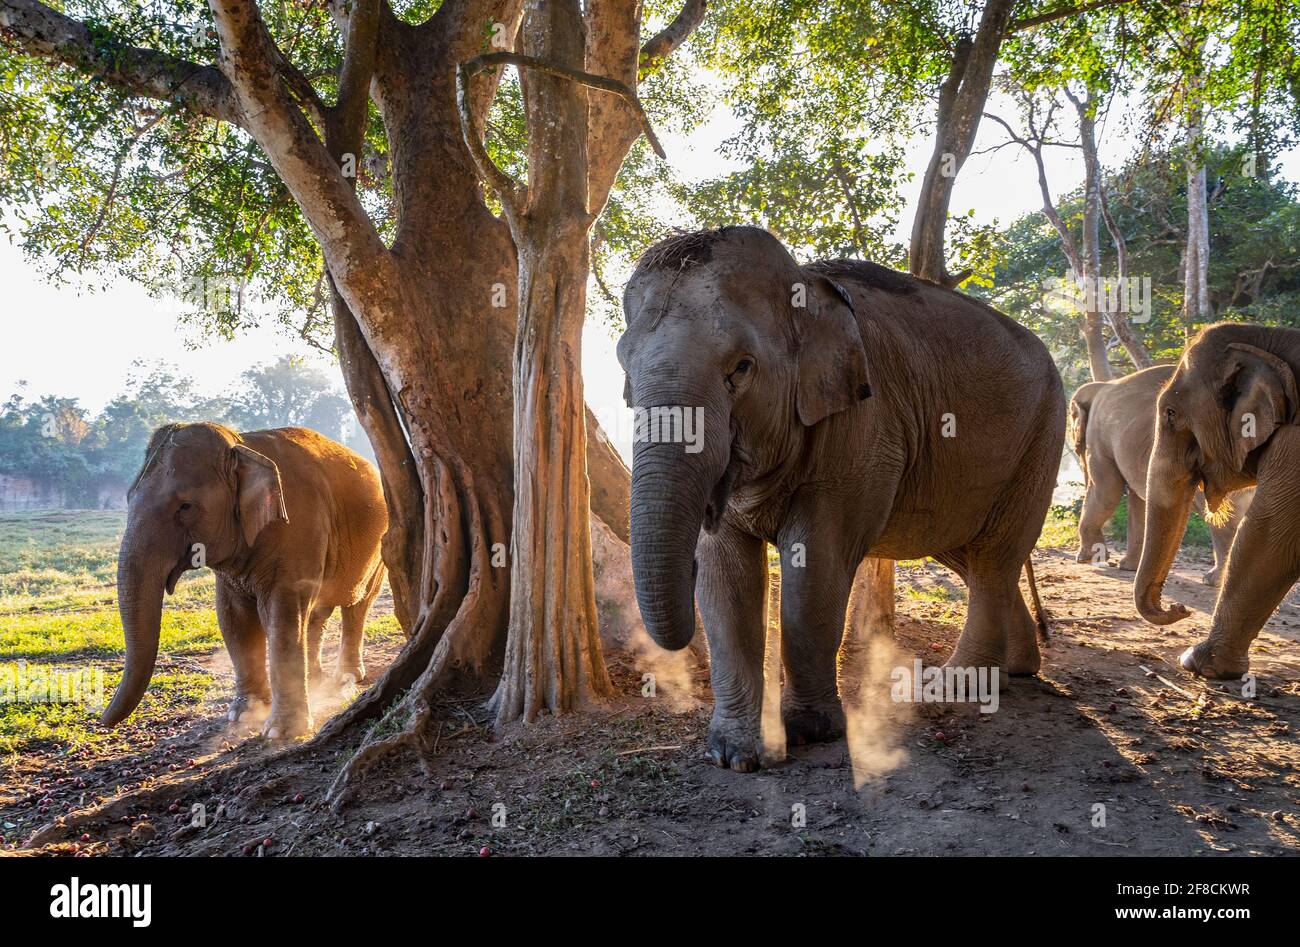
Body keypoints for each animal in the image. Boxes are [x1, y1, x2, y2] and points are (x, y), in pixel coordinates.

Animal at [102, 421, 384, 738]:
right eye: (128, 498)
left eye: (185, 506)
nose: (102, 722)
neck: (242, 444)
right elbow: (234, 619)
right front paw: (243, 715)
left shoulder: (301, 526)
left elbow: (282, 617)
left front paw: (281, 732)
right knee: (316, 614)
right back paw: (315, 681)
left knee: (357, 607)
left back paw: (347, 675)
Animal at [618, 227, 1066, 770]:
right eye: (624, 370)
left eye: (741, 368)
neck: (805, 284)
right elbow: (726, 574)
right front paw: (733, 754)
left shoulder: (864, 424)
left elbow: (817, 563)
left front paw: (809, 732)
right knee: (968, 552)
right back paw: (1018, 669)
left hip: (1043, 434)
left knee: (993, 558)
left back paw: (954, 686)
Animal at [1071, 364, 1253, 580]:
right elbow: (1138, 501)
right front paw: (1128, 567)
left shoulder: (1099, 435)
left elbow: (1106, 490)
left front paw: (1084, 560)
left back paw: (1213, 580)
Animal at [1133, 321, 1300, 676]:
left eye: (1170, 412)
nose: (1180, 607)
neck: (1270, 339)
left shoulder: (1295, 444)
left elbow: (1268, 532)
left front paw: (1197, 663)